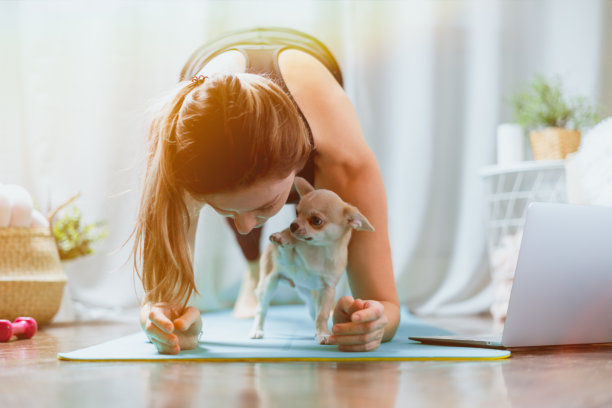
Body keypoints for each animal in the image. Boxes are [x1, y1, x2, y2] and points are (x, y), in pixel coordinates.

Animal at [249, 178, 372, 344]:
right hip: (269, 283)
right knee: (261, 309)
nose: (293, 225)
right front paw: (283, 238)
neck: (318, 250)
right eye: (296, 212)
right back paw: (257, 330)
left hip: (308, 292)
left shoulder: (327, 289)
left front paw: (323, 333)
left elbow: (322, 314)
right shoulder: (286, 261)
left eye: (316, 221)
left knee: (313, 311)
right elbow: (287, 251)